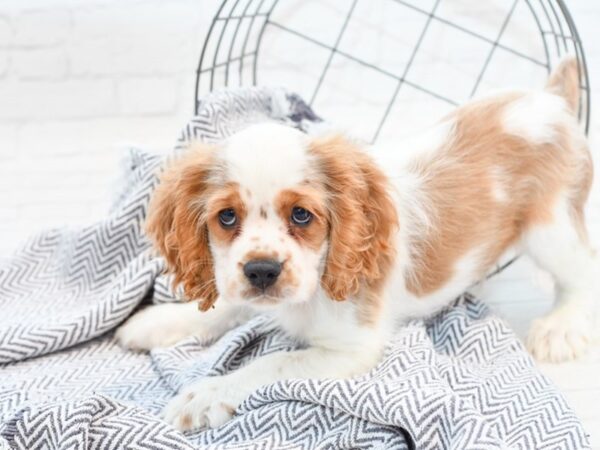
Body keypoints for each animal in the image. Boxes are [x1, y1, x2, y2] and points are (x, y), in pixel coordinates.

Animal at [116, 58, 596, 430]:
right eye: (226, 217)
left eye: (302, 215)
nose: (263, 271)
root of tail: (551, 99)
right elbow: (227, 305)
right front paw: (158, 322)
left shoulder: (351, 349)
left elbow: (273, 362)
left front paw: (205, 394)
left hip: (549, 227)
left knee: (583, 268)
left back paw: (561, 326)